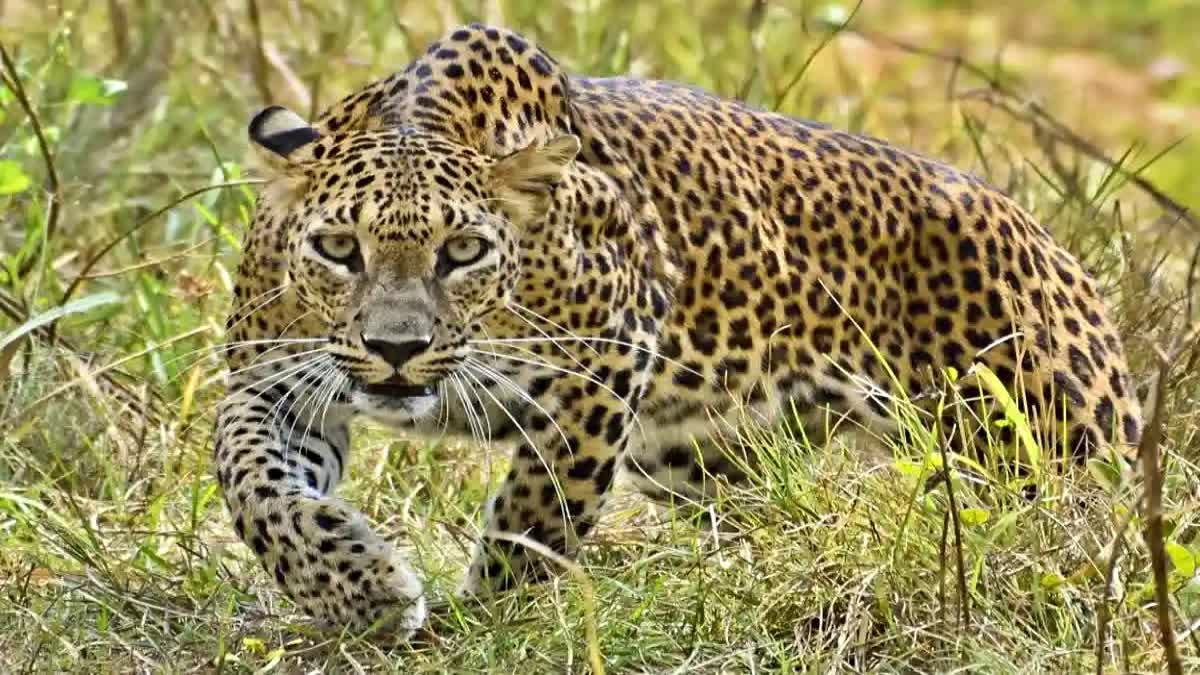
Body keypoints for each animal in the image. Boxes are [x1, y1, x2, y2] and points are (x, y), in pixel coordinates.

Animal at [216, 19, 1142, 629]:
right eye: (339, 248)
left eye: (464, 250)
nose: (396, 349)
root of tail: (1052, 242)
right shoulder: (272, 380)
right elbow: (254, 484)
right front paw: (361, 588)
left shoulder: (605, 364)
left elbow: (537, 514)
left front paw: (478, 618)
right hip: (702, 455)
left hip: (1050, 446)